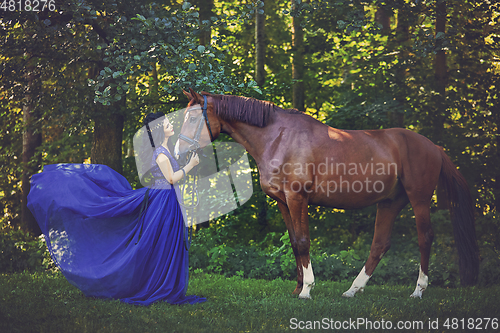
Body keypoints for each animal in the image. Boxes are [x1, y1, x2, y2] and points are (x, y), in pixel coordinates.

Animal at [176, 89, 480, 298]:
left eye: (192, 117)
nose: (179, 152)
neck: (278, 137)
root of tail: (433, 146)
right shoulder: (283, 202)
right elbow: (294, 241)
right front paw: (298, 287)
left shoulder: (297, 198)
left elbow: (303, 241)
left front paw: (307, 289)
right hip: (389, 202)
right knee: (379, 244)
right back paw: (353, 290)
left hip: (419, 200)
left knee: (424, 238)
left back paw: (418, 290)